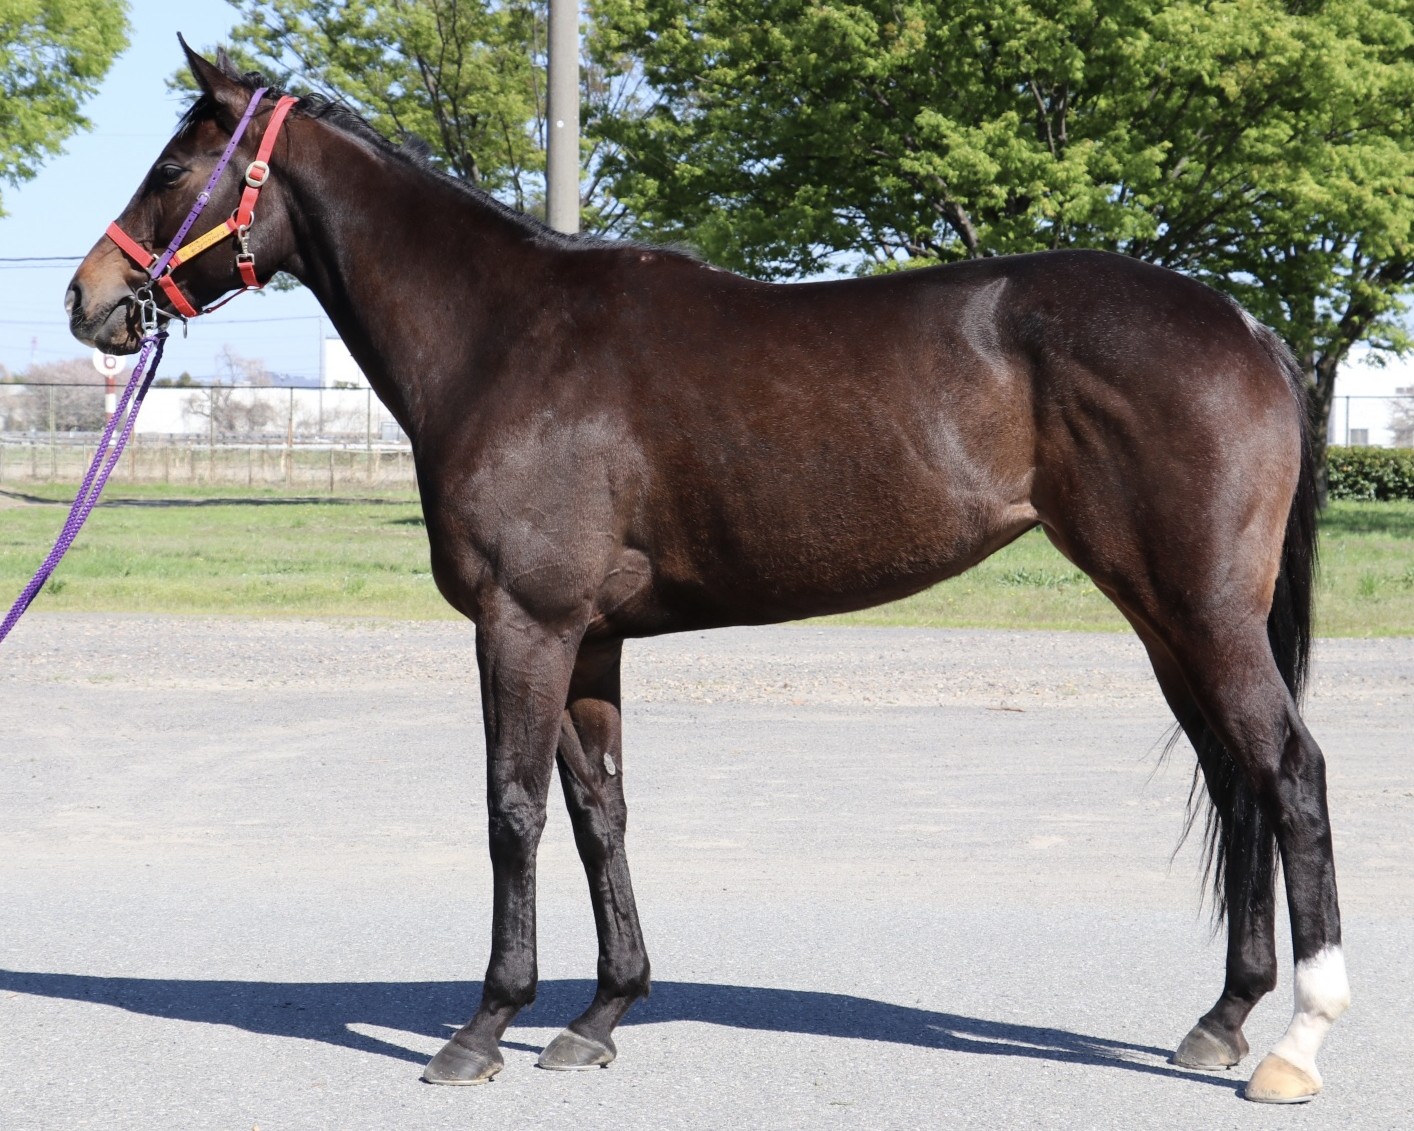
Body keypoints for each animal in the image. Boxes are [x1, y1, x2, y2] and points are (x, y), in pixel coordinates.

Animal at [64, 43, 1348, 1104]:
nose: (89, 300)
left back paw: (1294, 1044)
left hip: (1198, 611)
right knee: (1237, 779)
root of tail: (1246, 327)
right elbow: (600, 814)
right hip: (1165, 616)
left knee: (1288, 772)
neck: (503, 335)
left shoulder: (521, 625)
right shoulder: (587, 638)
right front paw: (600, 1014)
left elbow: (512, 811)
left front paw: (483, 1029)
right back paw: (1222, 1018)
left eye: (173, 168)